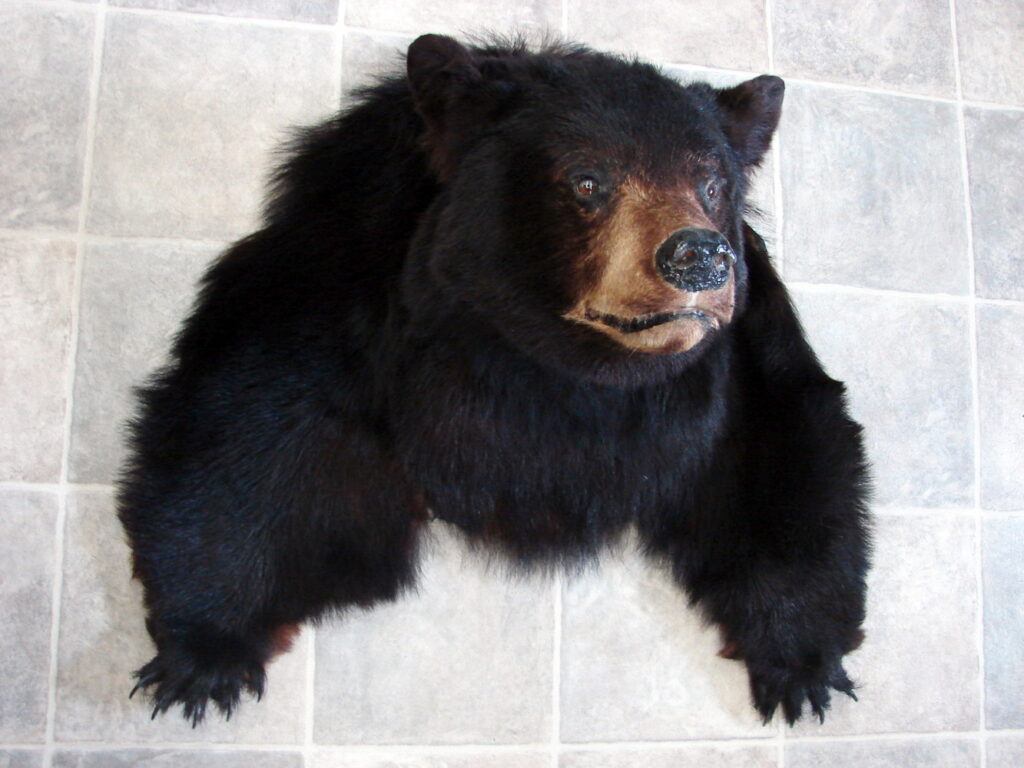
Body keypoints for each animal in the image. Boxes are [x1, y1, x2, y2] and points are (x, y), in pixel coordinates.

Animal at [118, 33, 871, 729]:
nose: (699, 255)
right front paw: (204, 658)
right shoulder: (336, 284)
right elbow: (249, 436)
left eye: (712, 185)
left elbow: (786, 456)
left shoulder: (740, 355)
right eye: (587, 181)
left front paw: (802, 666)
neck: (554, 364)